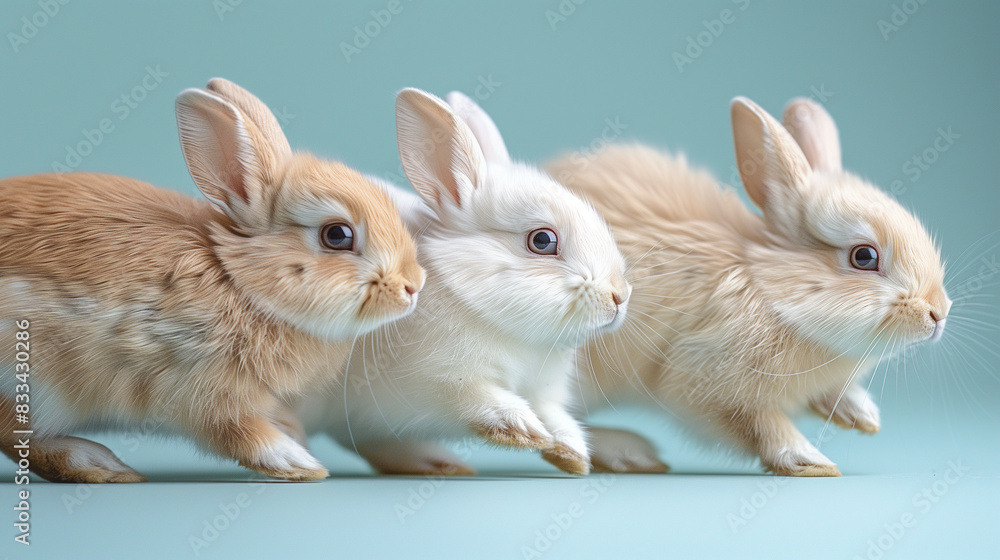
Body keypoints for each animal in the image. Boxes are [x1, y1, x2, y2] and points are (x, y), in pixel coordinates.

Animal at [0, 78, 424, 483]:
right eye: (337, 235)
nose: (413, 286)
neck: (238, 282)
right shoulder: (198, 386)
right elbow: (237, 432)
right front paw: (298, 461)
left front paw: (293, 433)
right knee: (15, 435)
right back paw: (98, 464)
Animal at [294, 89, 631, 476]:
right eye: (543, 240)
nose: (620, 295)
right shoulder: (439, 380)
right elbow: (475, 396)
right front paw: (522, 429)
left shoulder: (541, 390)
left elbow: (555, 416)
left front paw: (571, 453)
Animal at [545, 97, 951, 476]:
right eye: (864, 256)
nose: (938, 313)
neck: (767, 291)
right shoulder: (704, 380)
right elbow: (762, 424)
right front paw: (809, 460)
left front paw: (862, 416)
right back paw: (618, 453)